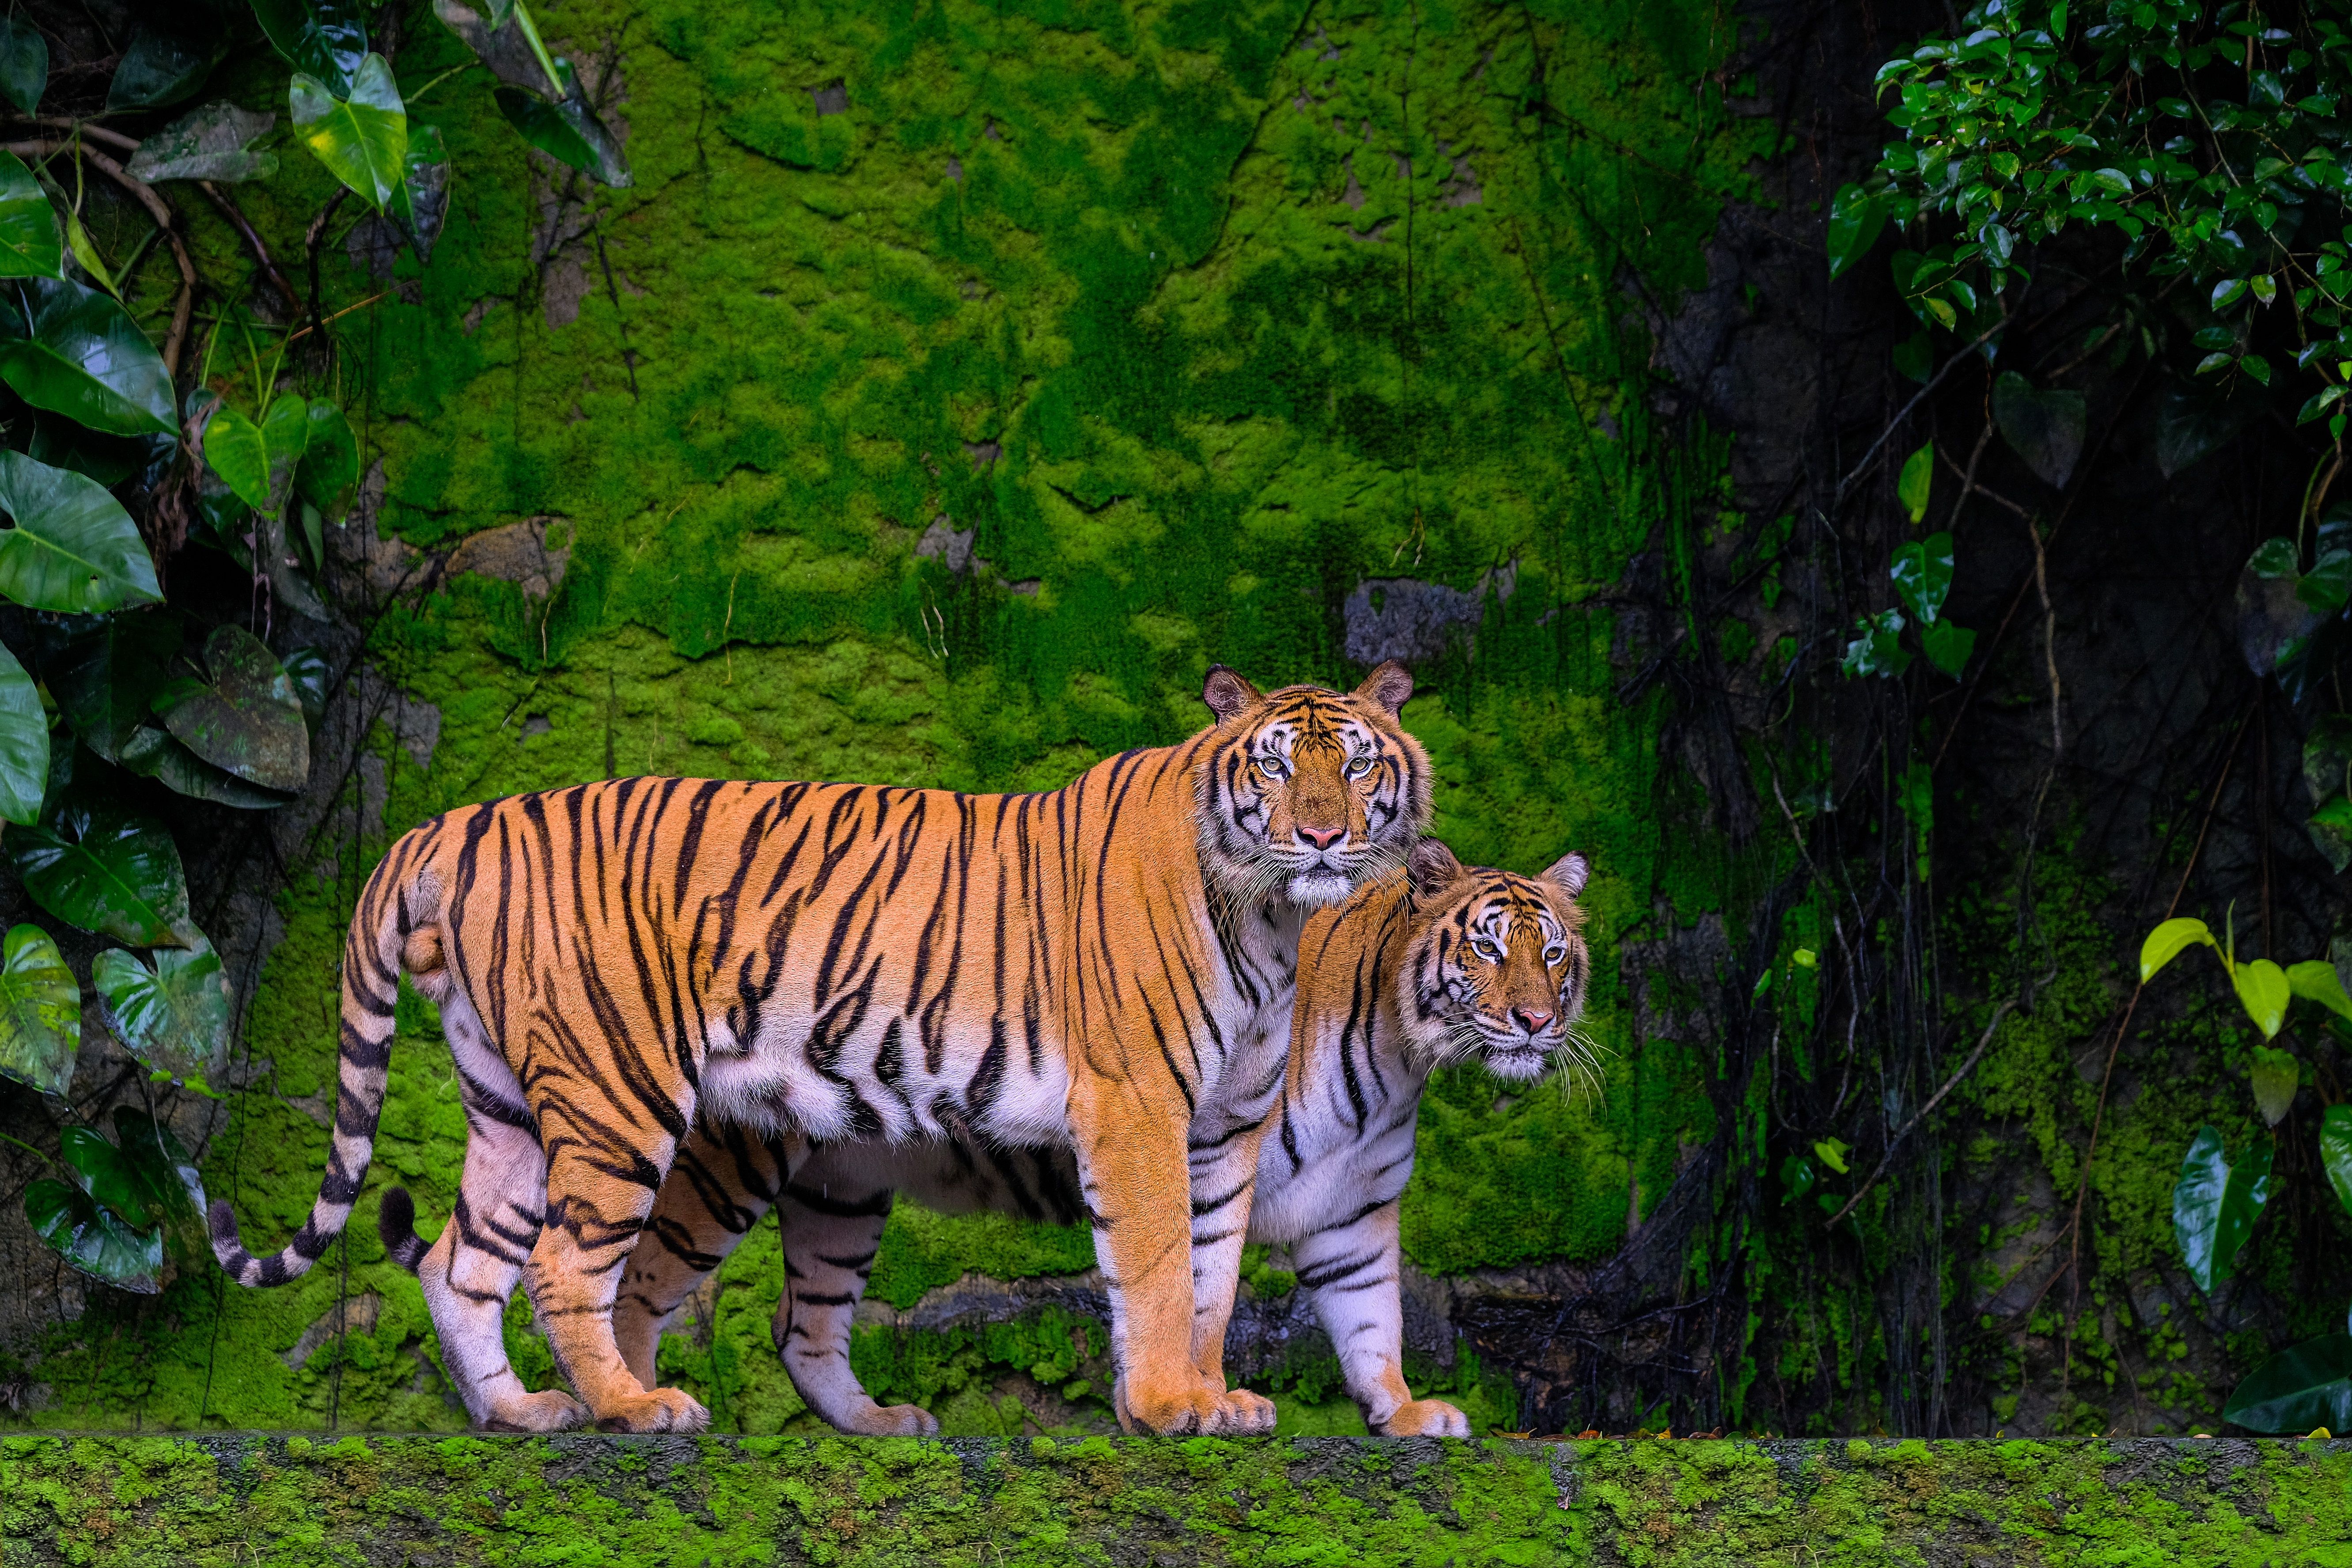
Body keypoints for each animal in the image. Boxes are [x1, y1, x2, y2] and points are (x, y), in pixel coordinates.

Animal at [207, 662, 1430, 1434]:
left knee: (464, 1262)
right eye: (1272, 767)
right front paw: (1170, 1406)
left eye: (1359, 766)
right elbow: (1164, 1265)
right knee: (563, 1264)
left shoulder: (1225, 1125)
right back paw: (631, 1409)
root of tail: (459, 819)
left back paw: (520, 1414)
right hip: (616, 1090)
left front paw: (1213, 1397)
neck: (1272, 920)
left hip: (509, 1096)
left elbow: (1215, 1270)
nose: (1321, 835)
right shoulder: (1137, 1105)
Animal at [603, 834, 1593, 1438]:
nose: (1538, 1021)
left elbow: (1372, 1320)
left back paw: (881, 1423)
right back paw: (639, 1406)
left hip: (843, 1186)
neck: (1398, 1061)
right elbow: (1182, 1284)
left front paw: (1404, 1413)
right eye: (1488, 947)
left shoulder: (1352, 1212)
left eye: (1552, 953)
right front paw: (1187, 1403)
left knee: (801, 1319)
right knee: (637, 1280)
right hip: (728, 1165)